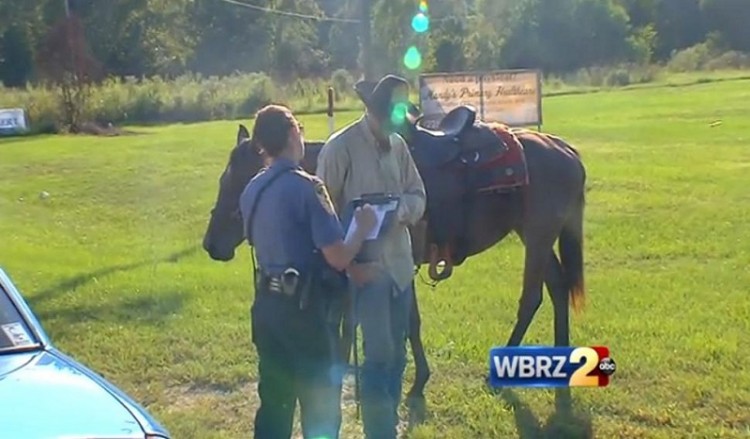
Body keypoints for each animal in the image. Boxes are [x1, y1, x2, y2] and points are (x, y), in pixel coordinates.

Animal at [204, 105, 588, 424]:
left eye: (236, 180)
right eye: (224, 180)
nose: (211, 244)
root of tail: (565, 150)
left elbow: (389, 322)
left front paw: (413, 382)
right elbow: (394, 321)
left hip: (537, 236)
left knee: (532, 297)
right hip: (536, 237)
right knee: (557, 287)